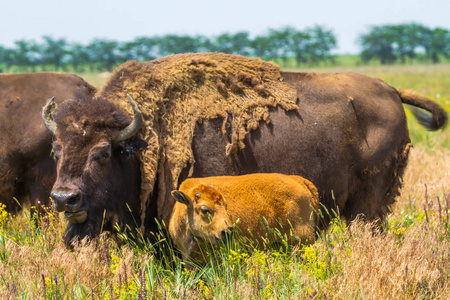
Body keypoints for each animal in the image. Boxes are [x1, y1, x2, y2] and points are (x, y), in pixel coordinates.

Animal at [41, 53, 446, 246]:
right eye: (56, 150)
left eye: (103, 152)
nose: (64, 199)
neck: (144, 136)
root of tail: (391, 89)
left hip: (370, 204)